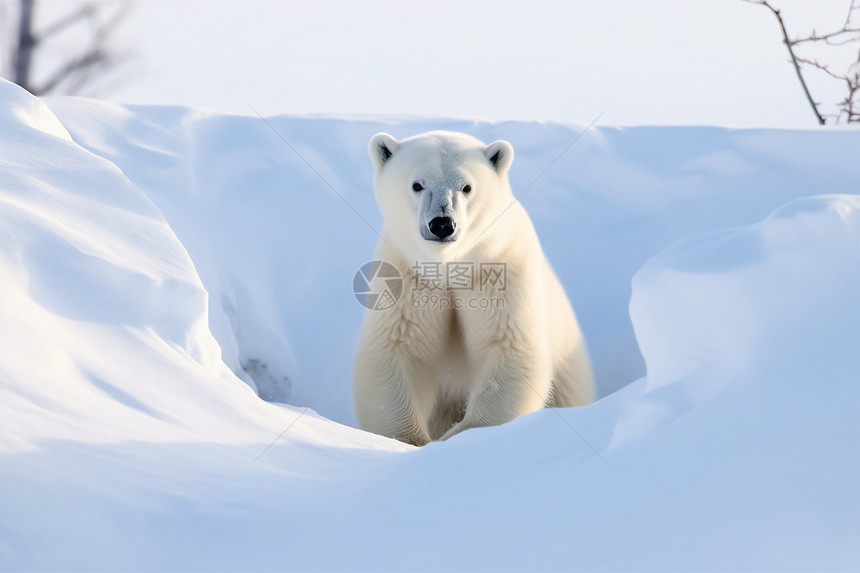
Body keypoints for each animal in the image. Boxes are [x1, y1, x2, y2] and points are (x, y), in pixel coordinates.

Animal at [352, 132, 592, 444]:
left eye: (466, 187)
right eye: (417, 184)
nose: (442, 224)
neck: (451, 265)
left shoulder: (499, 270)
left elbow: (508, 349)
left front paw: (461, 437)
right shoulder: (405, 275)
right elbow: (396, 350)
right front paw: (411, 439)